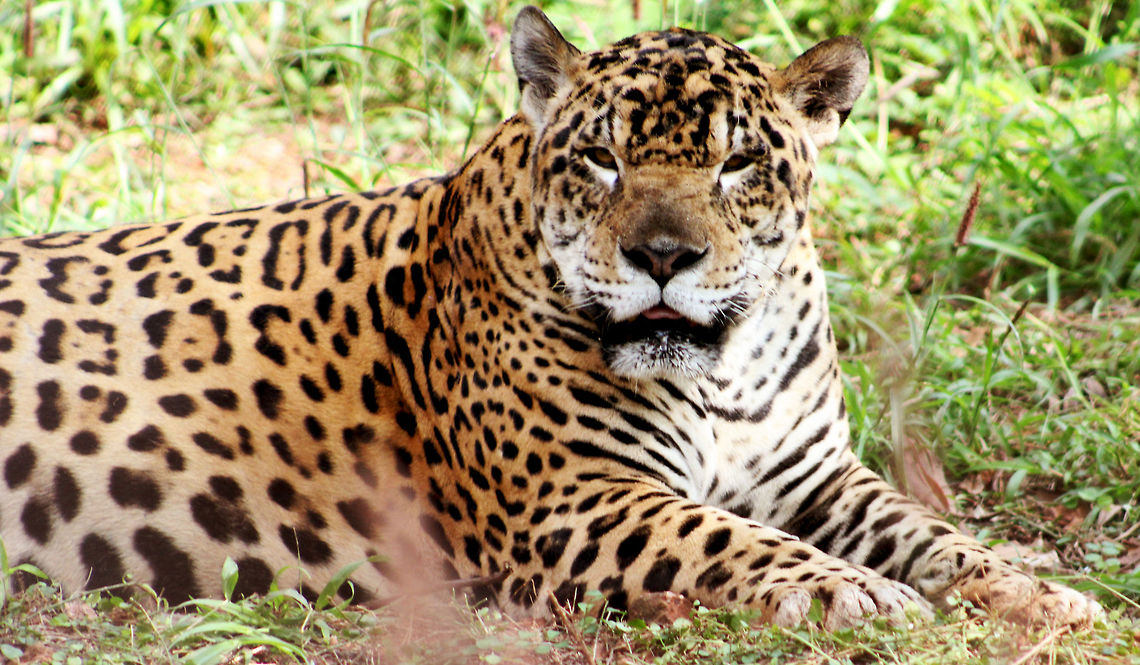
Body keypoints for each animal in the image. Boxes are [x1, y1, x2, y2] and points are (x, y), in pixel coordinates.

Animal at [0, 6, 1099, 629]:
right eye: (603, 160)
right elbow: (727, 538)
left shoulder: (815, 473)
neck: (724, 370)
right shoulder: (573, 499)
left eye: (738, 163)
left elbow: (937, 537)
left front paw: (1043, 594)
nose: (663, 258)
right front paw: (855, 592)